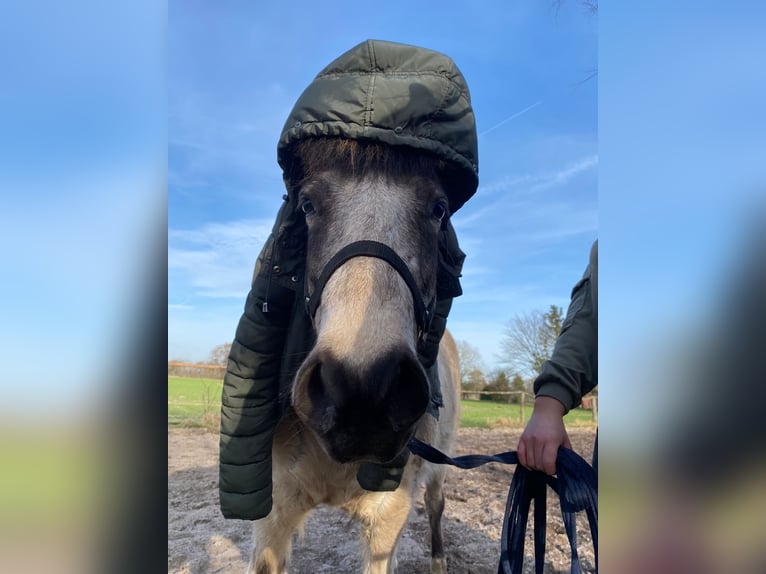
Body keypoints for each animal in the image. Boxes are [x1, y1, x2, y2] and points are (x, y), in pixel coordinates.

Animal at [249, 137, 460, 572]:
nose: (363, 387)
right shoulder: (272, 517)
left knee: (436, 505)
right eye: (307, 205)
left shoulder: (389, 518)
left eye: (439, 209)